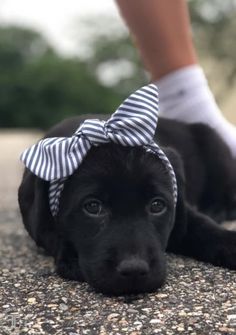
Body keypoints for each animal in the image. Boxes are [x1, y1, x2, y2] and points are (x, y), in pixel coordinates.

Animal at [18, 117, 236, 296]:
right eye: (93, 207)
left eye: (157, 205)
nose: (134, 271)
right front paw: (70, 258)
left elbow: (201, 226)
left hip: (214, 146)